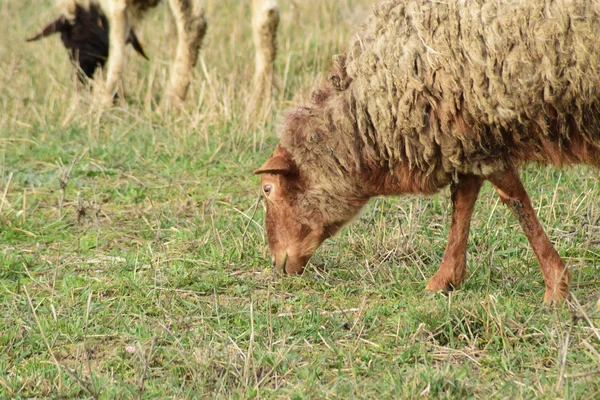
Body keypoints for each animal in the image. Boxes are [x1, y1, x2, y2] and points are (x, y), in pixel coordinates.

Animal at [27, 0, 280, 108]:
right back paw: (260, 98)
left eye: (68, 41)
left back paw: (171, 101)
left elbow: (119, 22)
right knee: (268, 15)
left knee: (194, 21)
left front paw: (108, 96)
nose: (82, 80)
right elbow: (171, 31)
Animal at [253, 0, 600, 304]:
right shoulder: (463, 136)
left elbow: (513, 200)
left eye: (268, 189)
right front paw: (446, 279)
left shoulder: (476, 134)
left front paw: (556, 286)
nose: (278, 263)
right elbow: (463, 203)